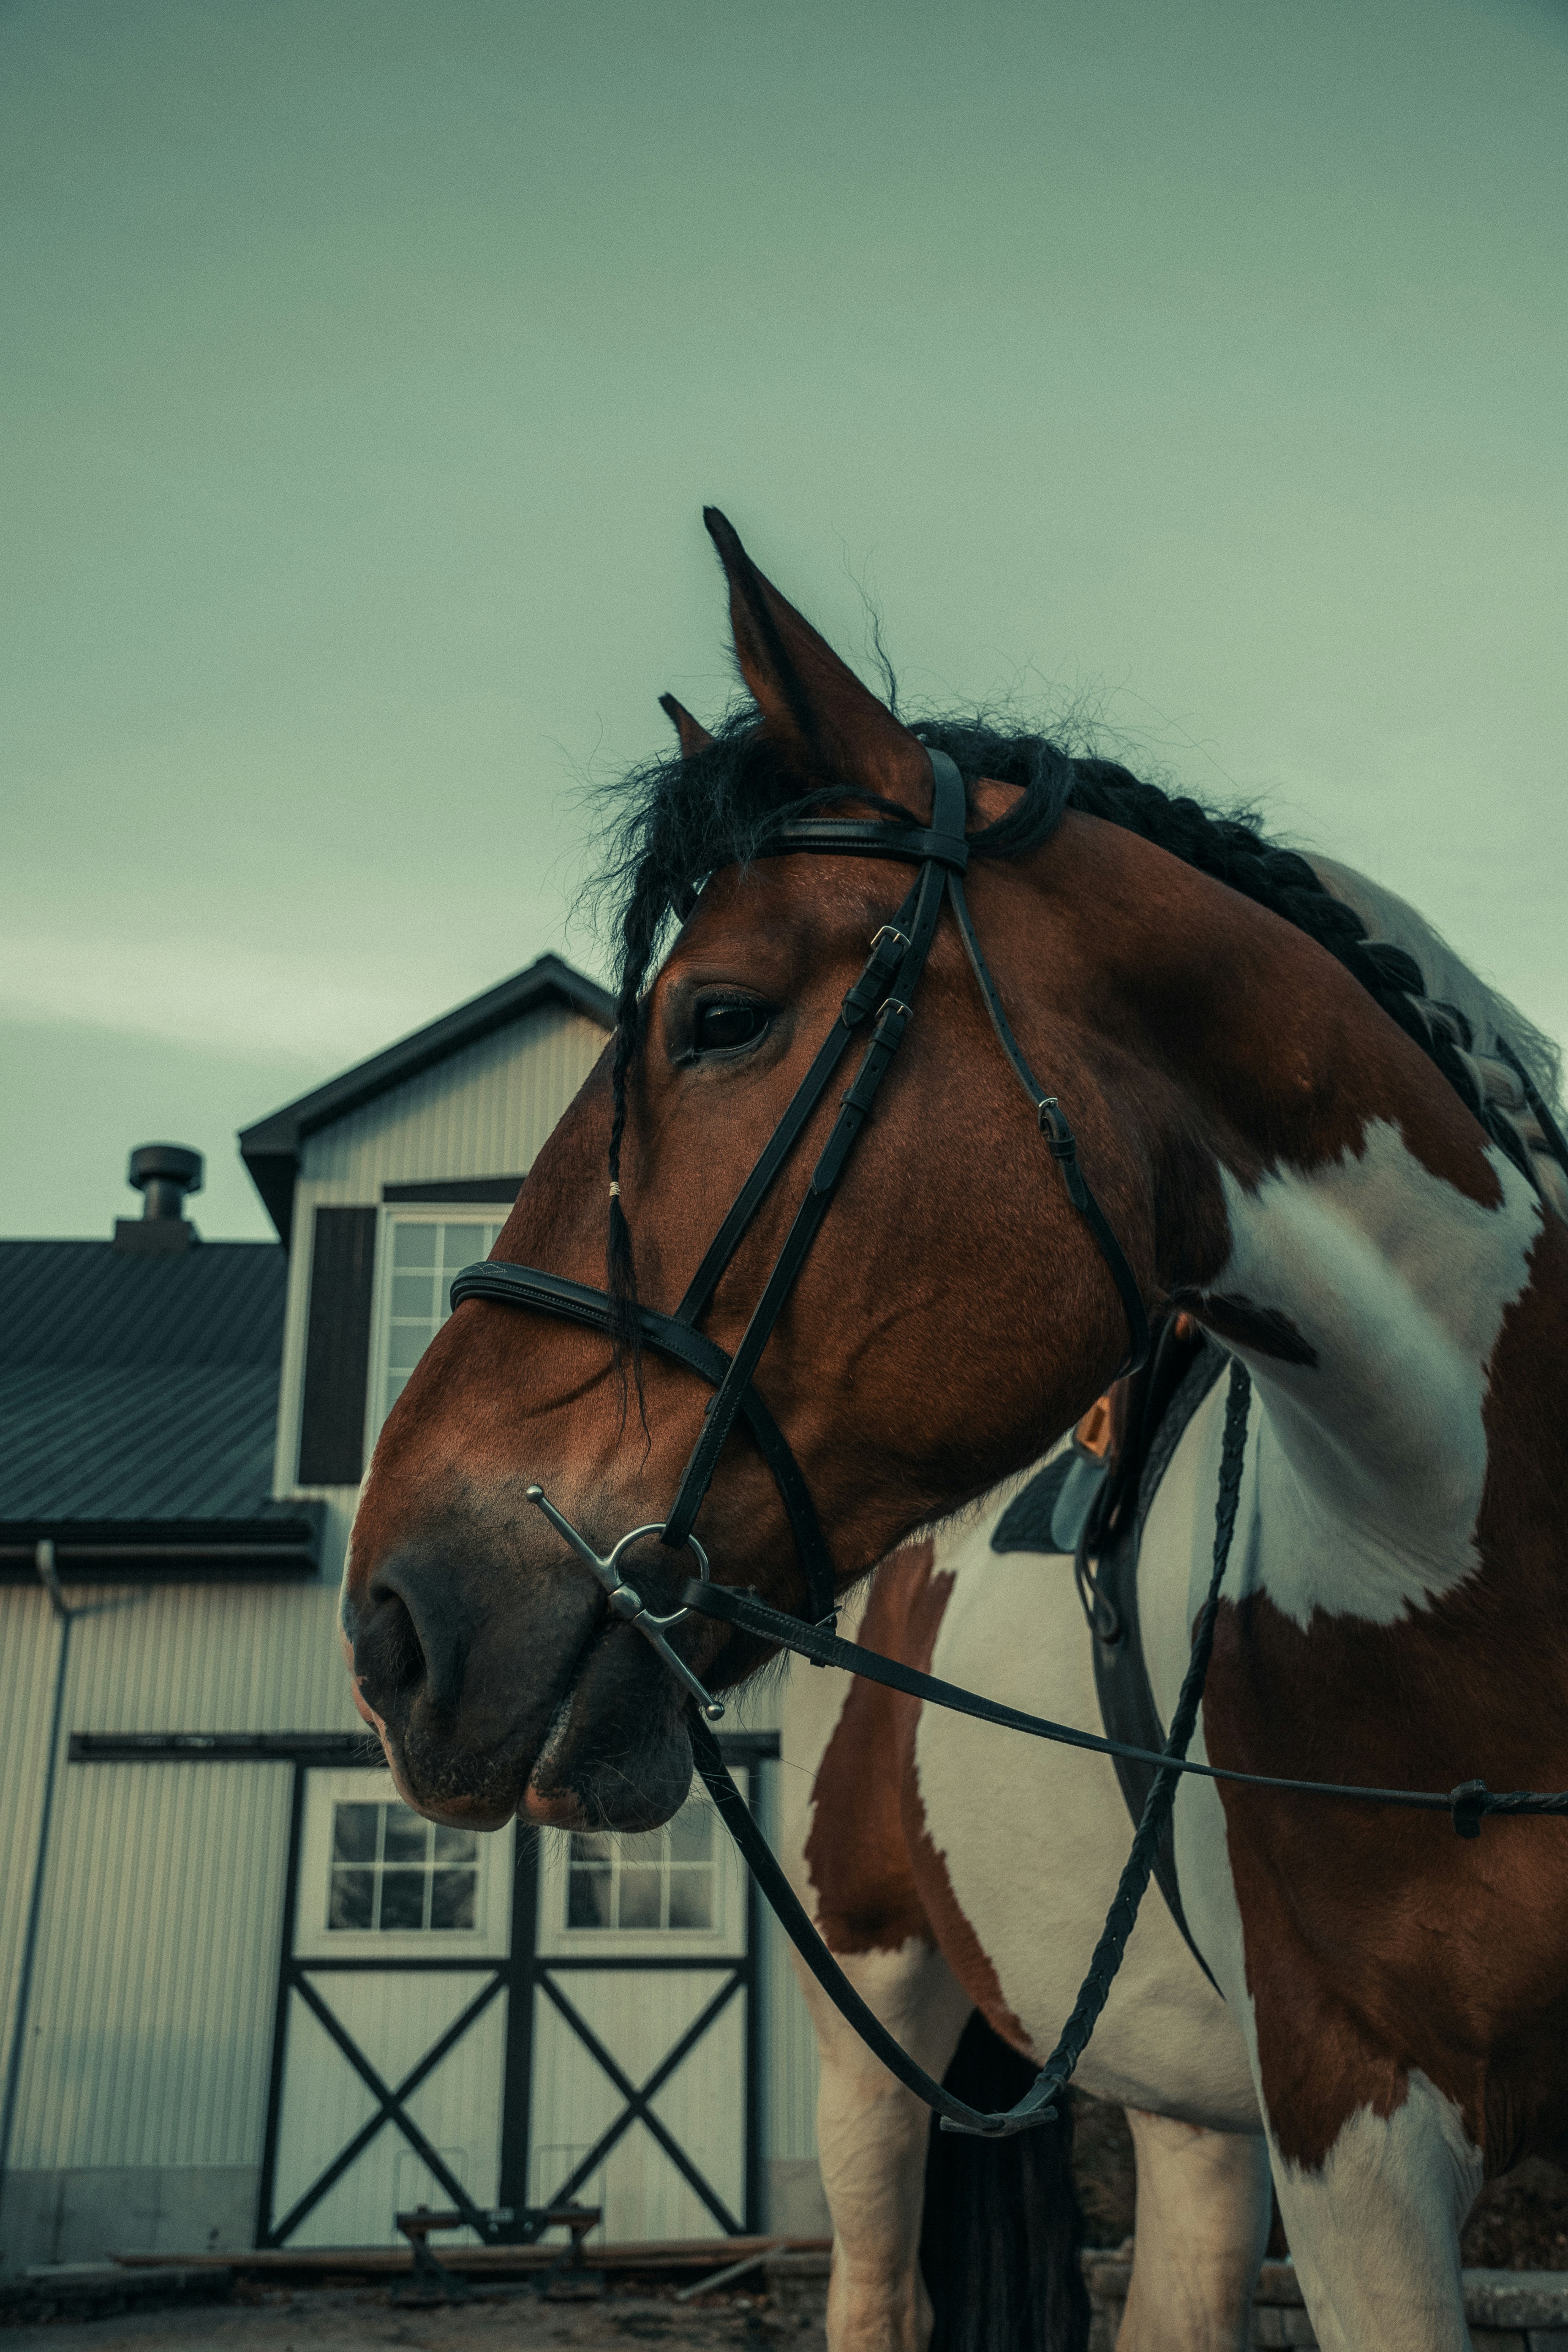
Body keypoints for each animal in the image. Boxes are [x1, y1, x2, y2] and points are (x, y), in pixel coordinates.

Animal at [341, 507, 1568, 2352]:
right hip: (876, 2005)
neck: (1483, 1564)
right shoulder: (1354, 2120)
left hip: (1181, 2092)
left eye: (718, 1016)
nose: (394, 1619)